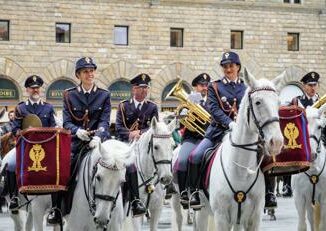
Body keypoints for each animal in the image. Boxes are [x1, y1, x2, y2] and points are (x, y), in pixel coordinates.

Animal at [195, 69, 284, 231]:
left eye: (278, 102)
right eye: (258, 102)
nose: (277, 142)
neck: (240, 171)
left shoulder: (254, 218)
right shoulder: (221, 218)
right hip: (202, 212)